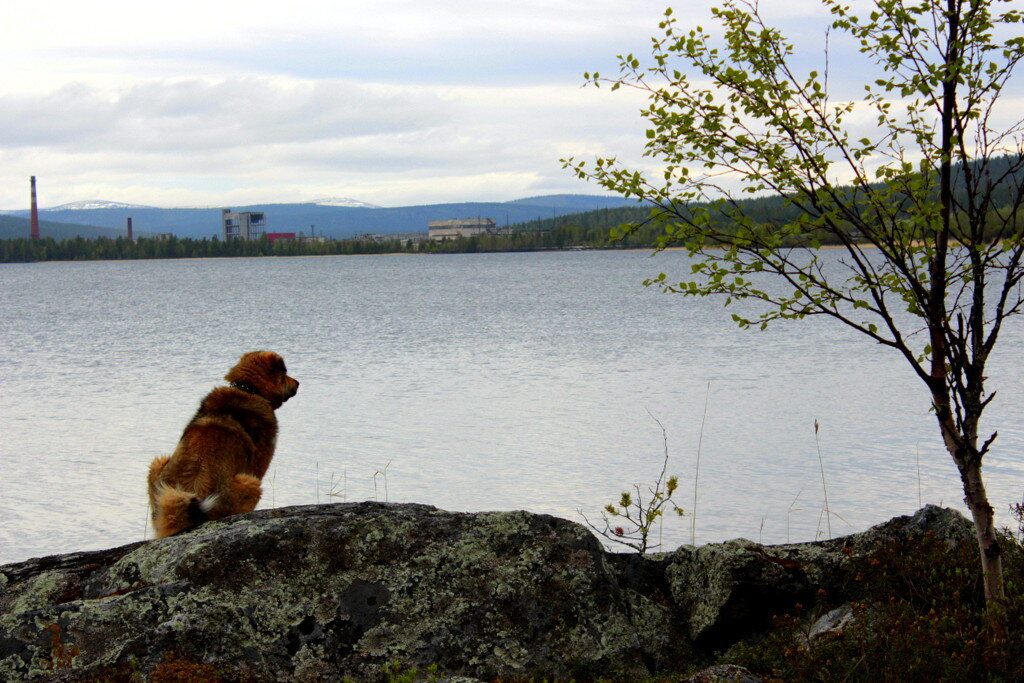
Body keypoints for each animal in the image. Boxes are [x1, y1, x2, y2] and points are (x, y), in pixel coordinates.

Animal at [148, 352, 299, 540]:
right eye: (285, 373)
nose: (298, 383)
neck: (248, 389)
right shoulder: (258, 465)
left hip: (157, 466)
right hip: (250, 482)